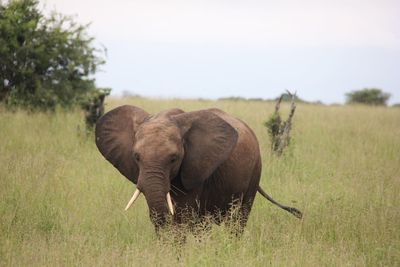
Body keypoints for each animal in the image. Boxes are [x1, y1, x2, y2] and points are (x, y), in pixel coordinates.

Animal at [95, 105, 302, 231]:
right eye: (136, 157)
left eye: (174, 158)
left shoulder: (196, 168)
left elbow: (185, 217)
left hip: (255, 170)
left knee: (239, 218)